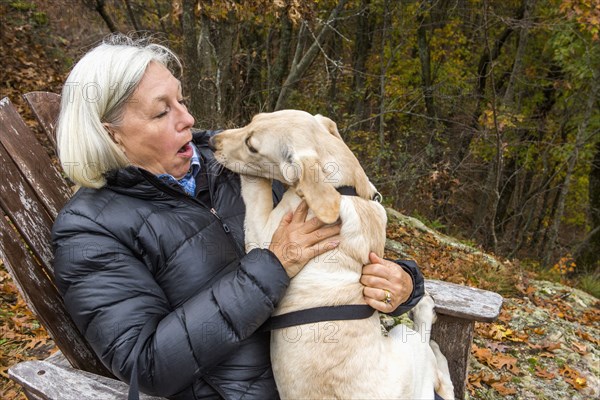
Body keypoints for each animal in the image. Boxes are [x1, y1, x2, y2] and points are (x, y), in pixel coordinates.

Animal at [210, 110, 450, 400]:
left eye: (252, 146)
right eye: (253, 119)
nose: (211, 142)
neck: (345, 189)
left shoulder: (261, 236)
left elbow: (257, 188)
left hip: (408, 341)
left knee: (434, 360)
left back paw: (426, 313)